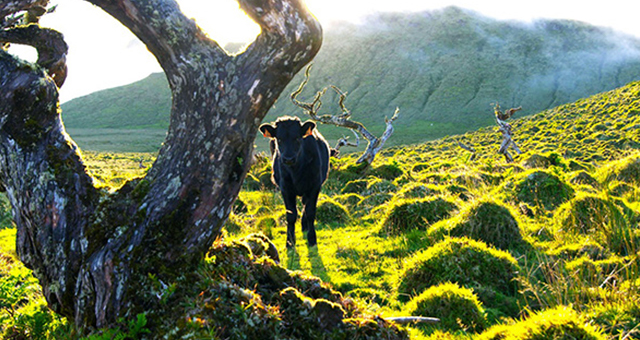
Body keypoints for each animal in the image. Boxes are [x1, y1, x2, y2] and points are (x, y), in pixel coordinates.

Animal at [260, 116, 330, 247]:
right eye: (279, 139)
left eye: (297, 138)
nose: (288, 159)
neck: (296, 170)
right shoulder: (285, 188)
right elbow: (291, 215)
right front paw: (290, 241)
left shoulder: (314, 186)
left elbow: (310, 212)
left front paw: (312, 238)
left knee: (305, 206)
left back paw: (305, 226)